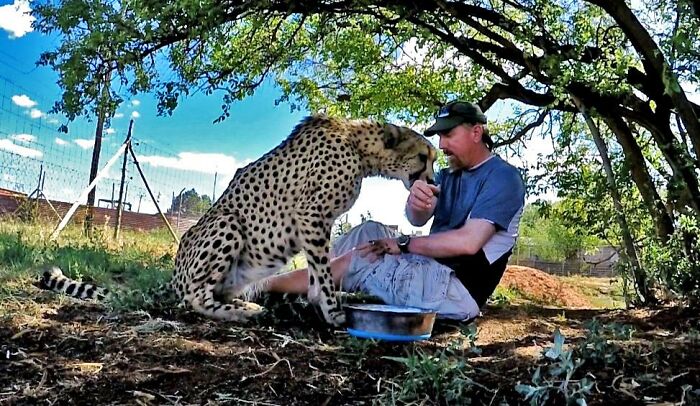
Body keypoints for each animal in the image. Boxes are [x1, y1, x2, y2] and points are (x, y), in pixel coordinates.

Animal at [41, 115, 437, 326]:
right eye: (423, 156)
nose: (434, 182)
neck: (359, 147)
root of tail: (173, 277)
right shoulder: (312, 216)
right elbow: (322, 273)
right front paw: (334, 312)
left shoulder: (315, 223)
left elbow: (316, 275)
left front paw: (329, 302)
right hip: (227, 223)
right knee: (195, 298)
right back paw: (246, 310)